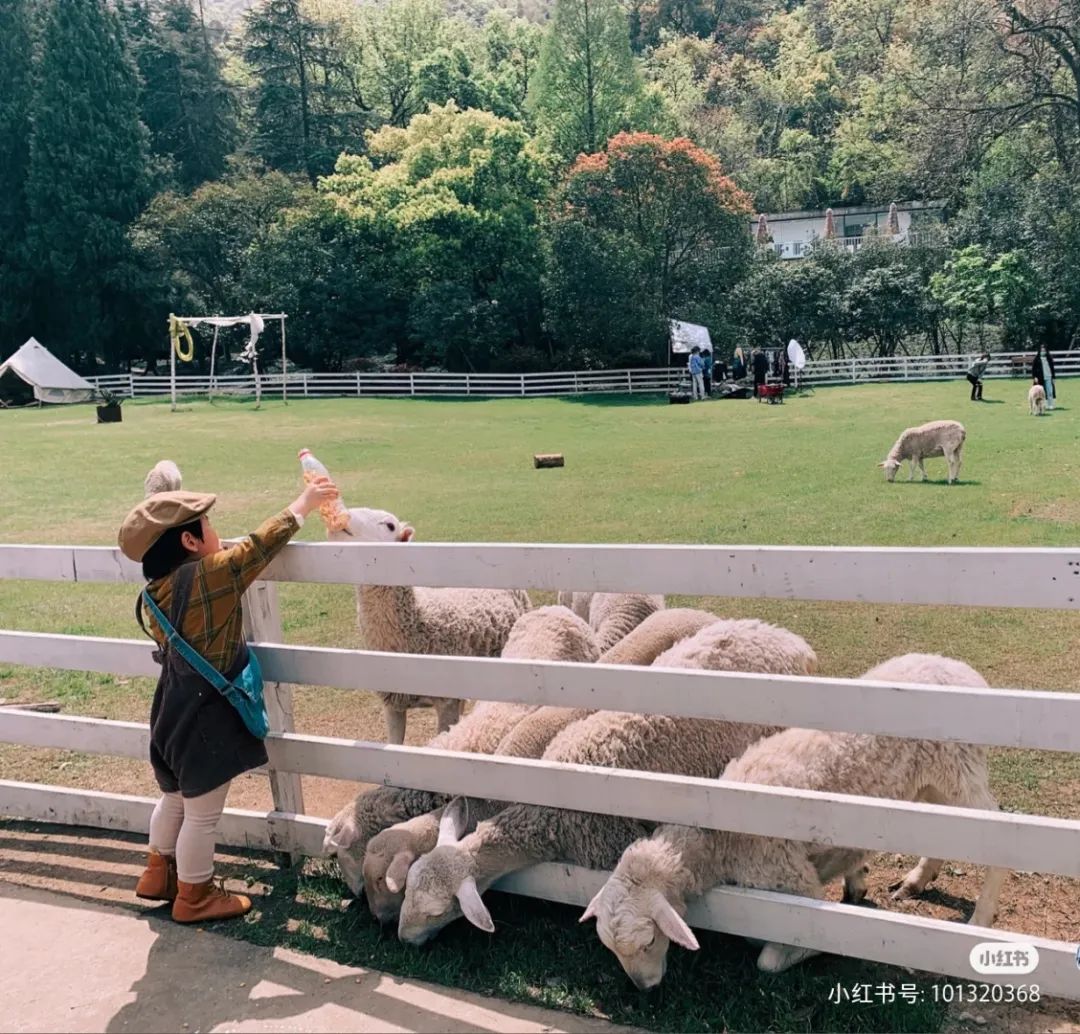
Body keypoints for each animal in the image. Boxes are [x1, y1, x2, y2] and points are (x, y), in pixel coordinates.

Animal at [587, 652, 1006, 985]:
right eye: (609, 946)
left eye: (649, 941)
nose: (644, 988)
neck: (718, 834)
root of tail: (964, 671)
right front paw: (856, 881)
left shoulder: (793, 886)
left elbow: (769, 958)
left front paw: (814, 949)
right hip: (933, 785)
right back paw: (917, 880)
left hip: (959, 772)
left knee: (994, 834)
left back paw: (980, 919)